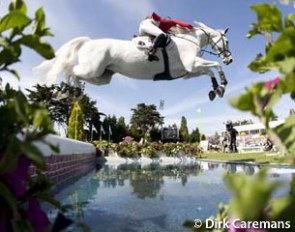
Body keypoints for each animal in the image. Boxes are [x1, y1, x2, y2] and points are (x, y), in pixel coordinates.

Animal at [35, 22, 234, 100]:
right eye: (227, 41)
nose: (230, 59)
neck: (189, 40)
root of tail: (88, 41)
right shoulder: (191, 64)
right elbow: (215, 65)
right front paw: (223, 84)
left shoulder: (188, 71)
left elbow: (209, 71)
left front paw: (217, 89)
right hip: (92, 69)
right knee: (70, 70)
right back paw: (65, 92)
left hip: (101, 76)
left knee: (76, 74)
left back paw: (72, 93)